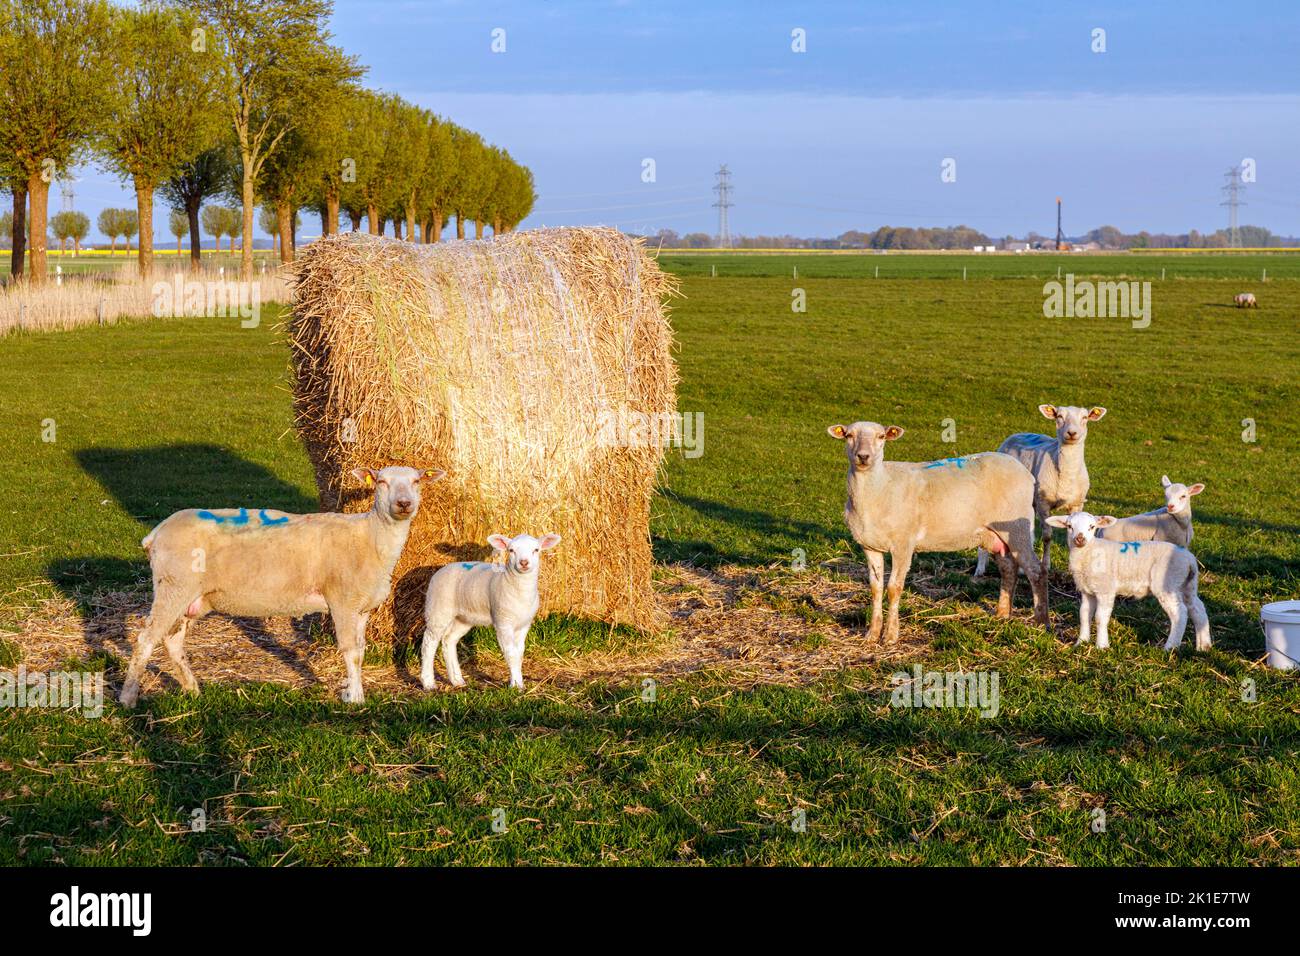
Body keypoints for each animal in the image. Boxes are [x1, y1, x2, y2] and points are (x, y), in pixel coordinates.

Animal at [119, 465, 444, 708]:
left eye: (416, 481)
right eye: (382, 482)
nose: (404, 504)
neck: (370, 536)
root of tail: (156, 533)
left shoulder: (361, 608)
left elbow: (360, 652)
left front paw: (354, 692)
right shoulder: (342, 601)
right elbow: (350, 651)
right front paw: (356, 700)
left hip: (191, 596)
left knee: (172, 640)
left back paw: (192, 690)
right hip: (174, 586)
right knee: (145, 639)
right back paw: (128, 697)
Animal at [421, 532, 561, 691]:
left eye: (536, 550)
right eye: (511, 550)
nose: (524, 562)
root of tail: (440, 570)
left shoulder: (524, 624)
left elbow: (519, 653)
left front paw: (519, 683)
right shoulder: (503, 622)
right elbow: (511, 653)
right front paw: (516, 686)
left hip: (464, 617)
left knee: (448, 640)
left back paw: (457, 680)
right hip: (438, 609)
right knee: (429, 643)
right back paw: (428, 683)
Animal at [828, 421, 1048, 643]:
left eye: (881, 436)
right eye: (849, 435)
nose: (863, 457)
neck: (880, 486)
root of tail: (1025, 472)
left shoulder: (903, 544)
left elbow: (893, 588)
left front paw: (890, 635)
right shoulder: (869, 546)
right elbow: (875, 588)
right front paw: (872, 634)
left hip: (1017, 529)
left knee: (1035, 571)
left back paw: (1041, 623)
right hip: (994, 536)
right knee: (1009, 568)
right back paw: (1002, 615)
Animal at [974, 404, 1107, 584]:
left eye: (1085, 418)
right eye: (1059, 416)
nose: (1072, 433)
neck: (1066, 474)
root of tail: (1017, 434)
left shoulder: (1077, 504)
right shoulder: (1043, 503)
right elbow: (1047, 536)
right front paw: (1046, 565)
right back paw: (980, 568)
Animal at [1046, 512, 1210, 651]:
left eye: (1092, 527)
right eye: (1069, 526)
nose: (1079, 539)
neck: (1089, 552)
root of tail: (1190, 559)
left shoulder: (1105, 589)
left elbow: (1100, 617)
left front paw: (1102, 646)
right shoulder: (1087, 591)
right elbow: (1084, 615)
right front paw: (1081, 642)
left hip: (1167, 583)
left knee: (1180, 613)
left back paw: (1170, 647)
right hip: (1187, 584)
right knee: (1197, 608)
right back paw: (1203, 647)